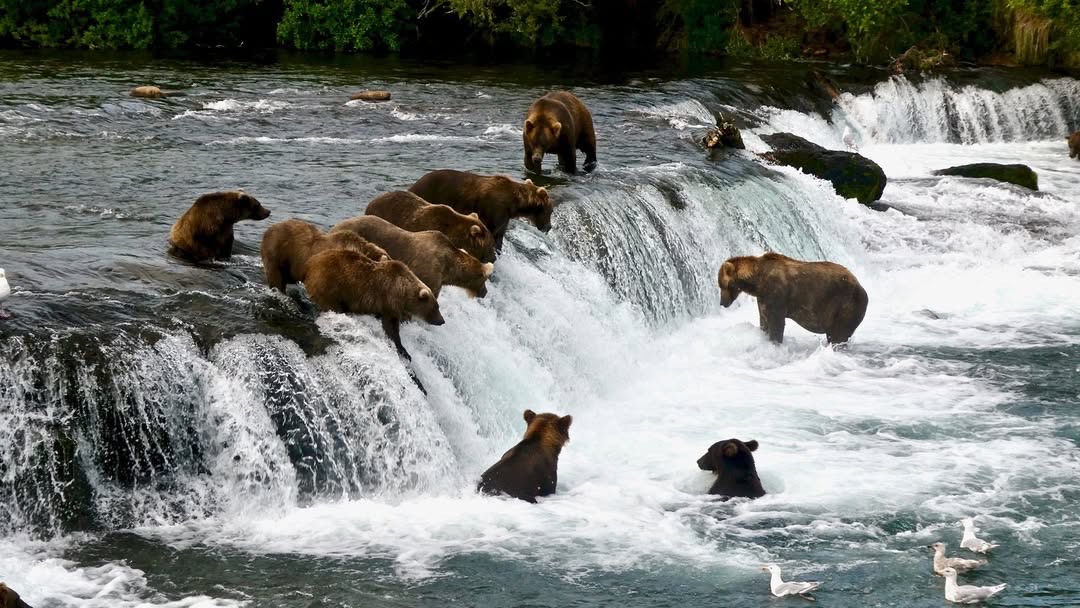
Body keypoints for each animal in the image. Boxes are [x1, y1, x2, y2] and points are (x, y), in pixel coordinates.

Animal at [406, 168, 552, 252]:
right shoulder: (496, 209)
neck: (514, 203)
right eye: (550, 211)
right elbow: (492, 232)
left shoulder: (504, 217)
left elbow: (499, 235)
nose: (549, 227)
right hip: (429, 192)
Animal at [717, 253, 868, 347]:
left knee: (839, 335)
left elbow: (776, 324)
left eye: (721, 285)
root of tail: (861, 286)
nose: (722, 303)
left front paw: (774, 343)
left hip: (845, 305)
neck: (758, 282)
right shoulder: (763, 299)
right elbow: (763, 320)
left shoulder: (776, 294)